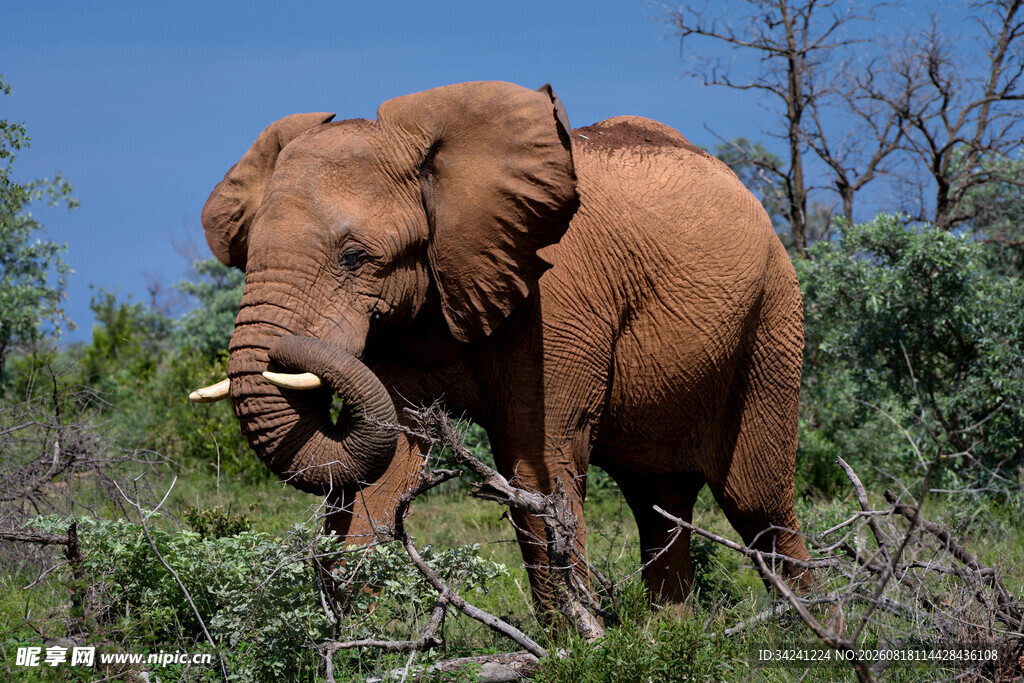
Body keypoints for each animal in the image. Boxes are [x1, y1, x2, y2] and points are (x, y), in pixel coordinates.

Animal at [189, 80, 812, 613]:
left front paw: (576, 649)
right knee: (658, 503)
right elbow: (383, 468)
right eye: (248, 253)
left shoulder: (558, 296)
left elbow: (536, 469)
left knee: (758, 504)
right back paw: (671, 637)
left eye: (354, 257)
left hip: (773, 318)